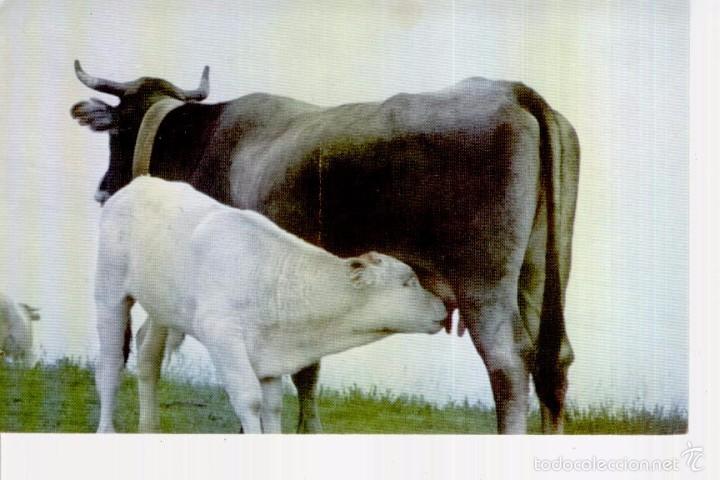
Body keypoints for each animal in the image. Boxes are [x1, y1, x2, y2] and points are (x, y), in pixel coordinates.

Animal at [94, 176, 447, 433]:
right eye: (408, 282)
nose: (443, 307)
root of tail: (140, 183)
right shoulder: (223, 336)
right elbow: (249, 400)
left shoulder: (269, 354)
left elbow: (272, 406)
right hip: (109, 293)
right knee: (110, 363)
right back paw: (107, 429)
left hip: (164, 308)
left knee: (148, 356)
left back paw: (149, 428)